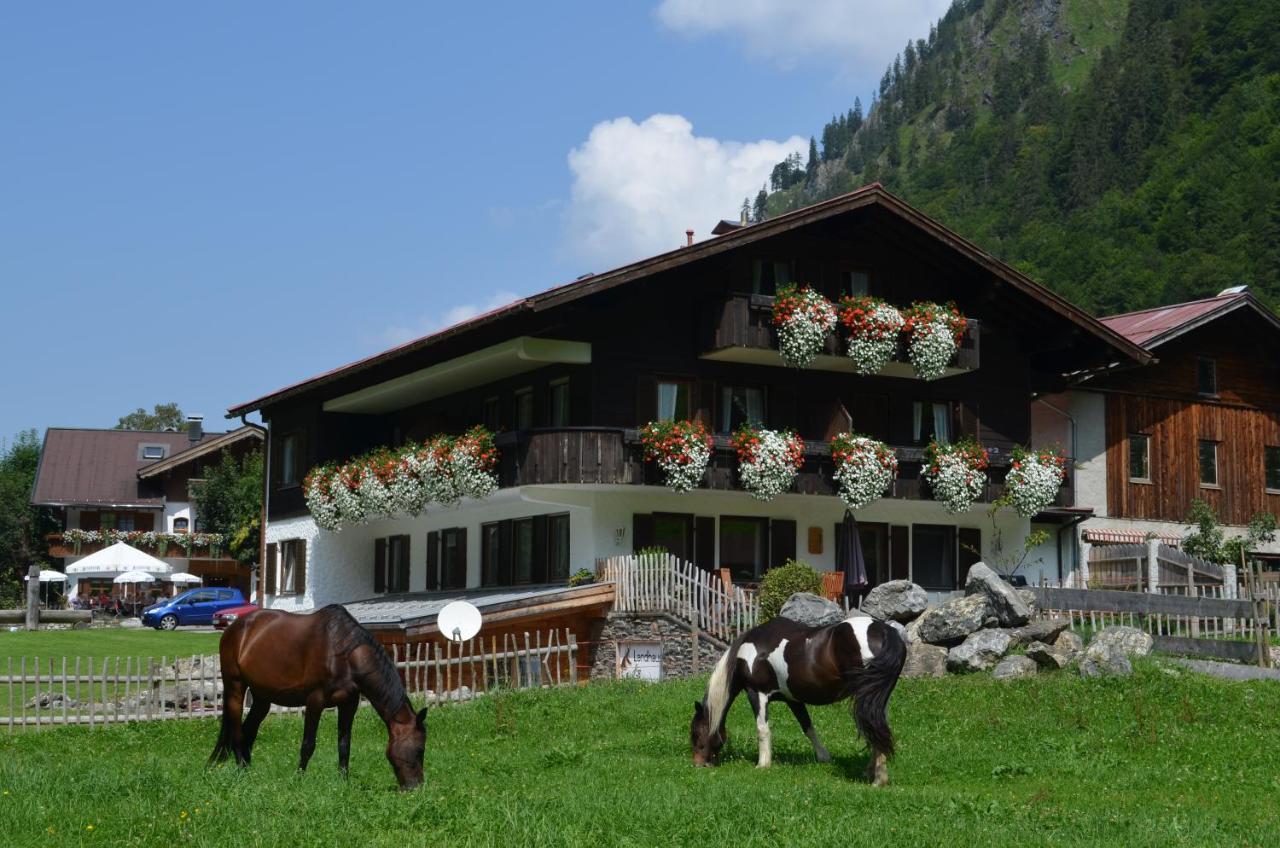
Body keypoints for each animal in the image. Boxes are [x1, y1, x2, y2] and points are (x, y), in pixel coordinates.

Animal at [691, 614, 911, 789]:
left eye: (696, 734)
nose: (698, 764)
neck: (749, 652)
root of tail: (883, 630)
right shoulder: (793, 700)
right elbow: (808, 727)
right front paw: (823, 757)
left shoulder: (756, 692)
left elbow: (762, 729)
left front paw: (763, 764)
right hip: (876, 698)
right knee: (876, 729)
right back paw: (873, 772)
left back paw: (878, 779)